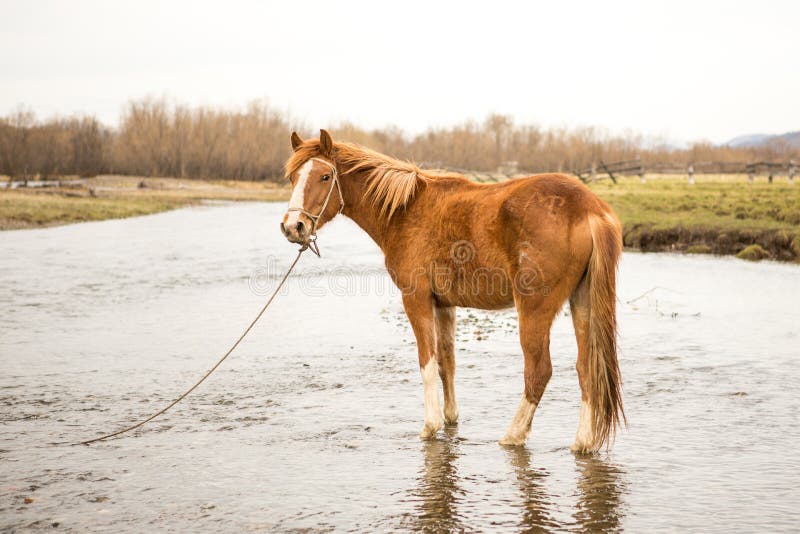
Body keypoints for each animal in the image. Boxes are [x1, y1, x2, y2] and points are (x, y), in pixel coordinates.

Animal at [280, 129, 625, 452]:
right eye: (293, 177)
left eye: (325, 176)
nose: (293, 226)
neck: (405, 210)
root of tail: (590, 208)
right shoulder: (444, 305)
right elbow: (447, 362)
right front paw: (450, 418)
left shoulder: (416, 299)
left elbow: (427, 361)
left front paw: (430, 426)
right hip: (582, 302)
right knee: (587, 368)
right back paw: (583, 441)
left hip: (534, 309)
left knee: (539, 371)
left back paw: (513, 435)